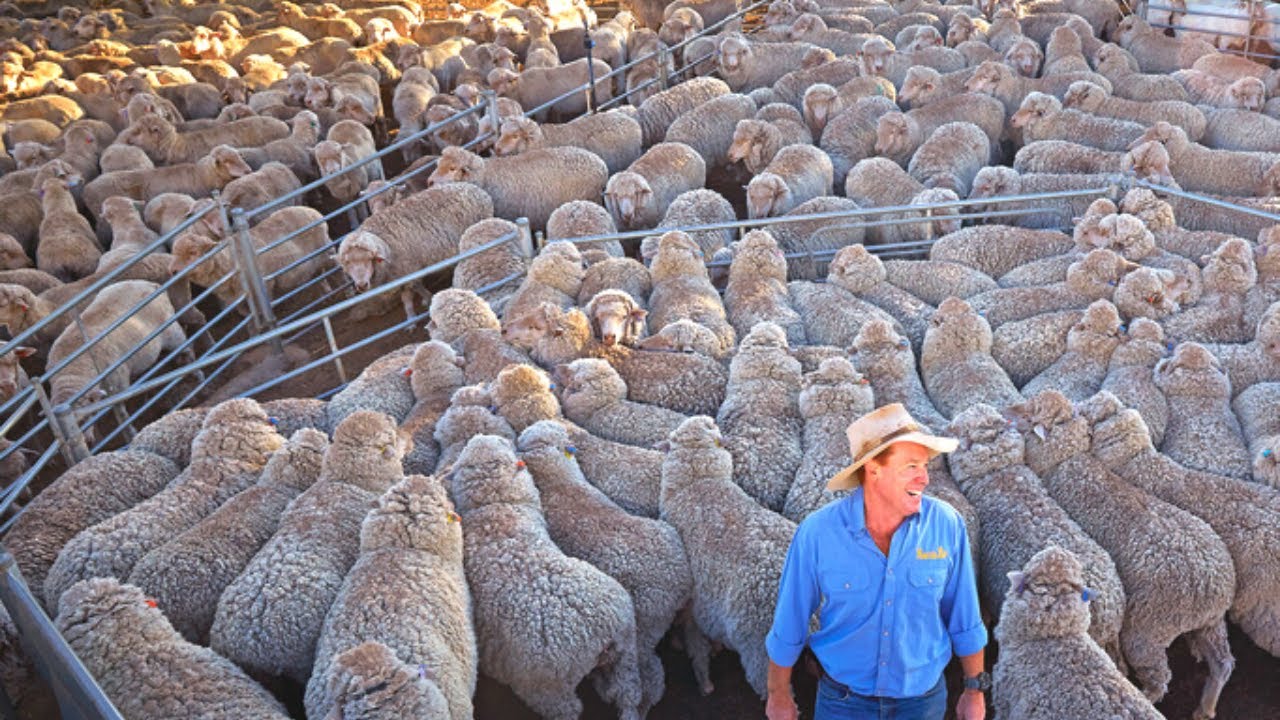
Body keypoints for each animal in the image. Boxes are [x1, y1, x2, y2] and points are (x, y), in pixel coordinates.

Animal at [336, 182, 494, 320]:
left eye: (369, 259)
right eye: (348, 263)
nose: (361, 285)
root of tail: (474, 188)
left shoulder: (406, 270)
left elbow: (408, 295)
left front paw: (412, 316)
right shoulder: (407, 272)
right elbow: (417, 287)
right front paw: (426, 298)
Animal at [447, 434, 643, 720]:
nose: (507, 438)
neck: (497, 507)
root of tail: (603, 630)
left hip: (550, 689)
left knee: (570, 709)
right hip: (626, 653)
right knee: (628, 693)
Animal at [1009, 390, 1236, 715]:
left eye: (1030, 414)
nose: (1010, 410)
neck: (1072, 462)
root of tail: (1209, 587)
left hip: (1149, 628)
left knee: (1159, 678)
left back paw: (1146, 695)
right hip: (1211, 622)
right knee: (1223, 663)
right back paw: (1205, 708)